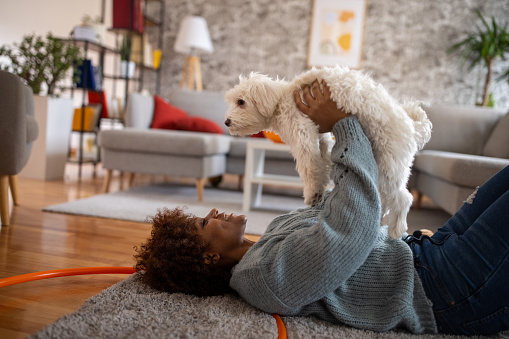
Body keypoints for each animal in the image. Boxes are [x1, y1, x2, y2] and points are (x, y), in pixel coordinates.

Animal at [224, 66, 430, 240]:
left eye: (241, 102)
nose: (226, 122)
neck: (282, 99)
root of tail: (413, 128)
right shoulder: (321, 137)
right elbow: (321, 164)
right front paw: (319, 191)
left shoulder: (303, 134)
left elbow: (308, 167)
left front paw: (312, 193)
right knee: (387, 198)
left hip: (390, 164)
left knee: (404, 198)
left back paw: (396, 230)